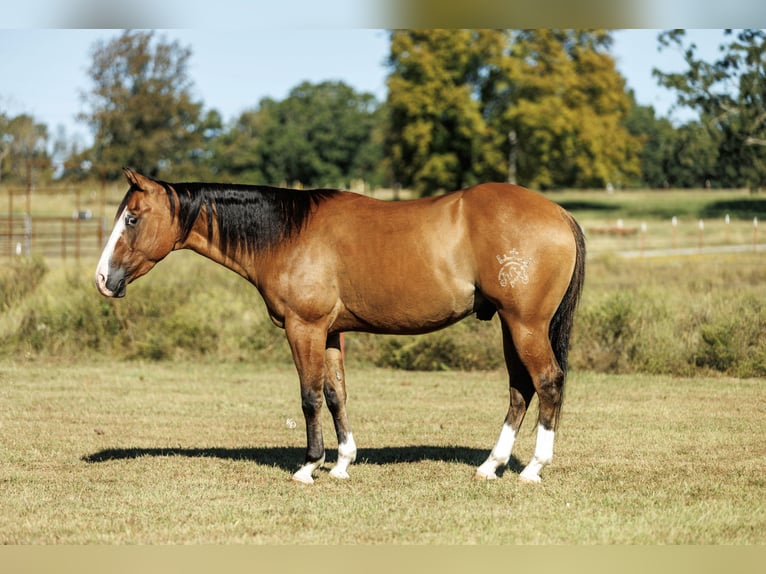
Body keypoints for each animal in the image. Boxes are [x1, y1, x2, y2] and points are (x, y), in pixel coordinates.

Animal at [95, 168, 585, 484]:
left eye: (132, 218)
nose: (103, 279)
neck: (288, 233)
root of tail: (560, 214)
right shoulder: (330, 333)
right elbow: (335, 395)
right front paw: (343, 462)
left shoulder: (304, 328)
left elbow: (310, 396)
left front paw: (309, 466)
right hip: (510, 325)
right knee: (520, 389)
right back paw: (490, 465)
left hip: (525, 324)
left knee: (547, 382)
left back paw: (533, 468)